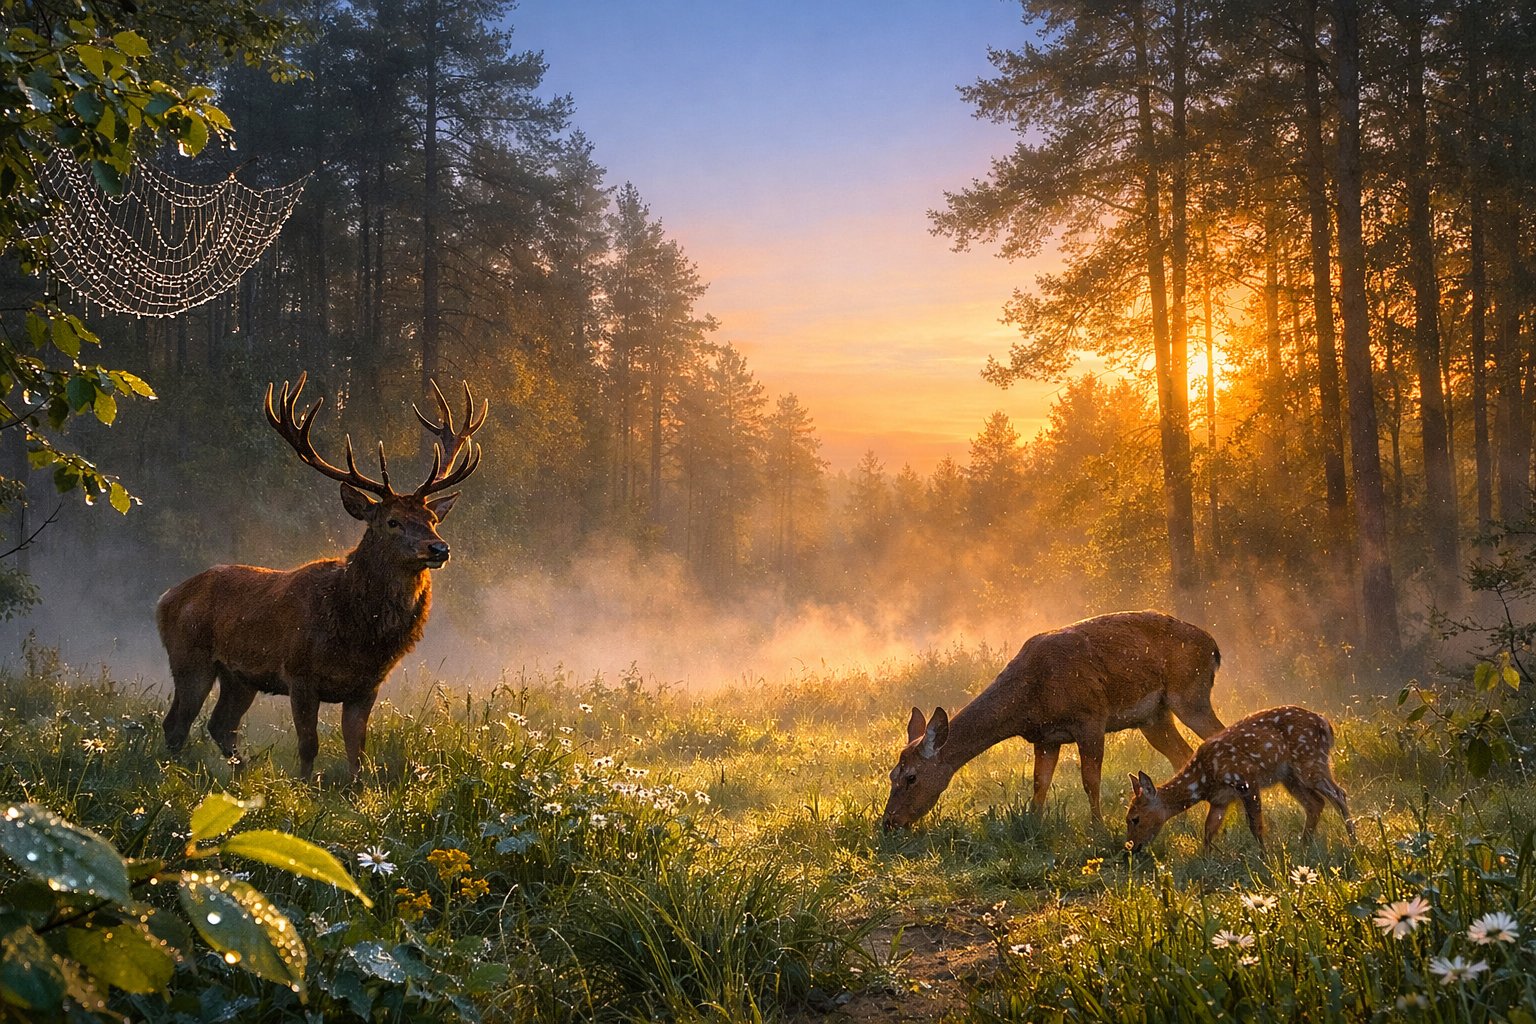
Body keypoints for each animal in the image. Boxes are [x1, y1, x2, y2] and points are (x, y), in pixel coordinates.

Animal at [157, 373, 487, 781]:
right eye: (392, 522)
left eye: (432, 520)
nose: (439, 549)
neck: (356, 633)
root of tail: (166, 597)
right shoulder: (299, 674)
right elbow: (308, 744)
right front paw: (303, 787)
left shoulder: (367, 686)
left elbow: (357, 751)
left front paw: (357, 789)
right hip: (189, 657)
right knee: (177, 724)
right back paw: (174, 773)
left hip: (239, 677)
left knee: (221, 725)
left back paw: (244, 773)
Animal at [881, 610, 1225, 831]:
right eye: (890, 775)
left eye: (910, 777)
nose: (888, 823)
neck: (1030, 699)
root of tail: (1214, 648)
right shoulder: (1045, 738)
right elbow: (1039, 783)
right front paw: (1034, 824)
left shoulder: (1091, 718)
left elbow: (1090, 780)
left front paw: (1098, 828)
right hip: (1153, 717)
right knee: (1182, 754)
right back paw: (1180, 820)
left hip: (1190, 693)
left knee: (1216, 735)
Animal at [1125, 705, 1355, 852]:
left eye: (1135, 818)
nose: (1131, 848)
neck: (1204, 778)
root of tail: (1325, 723)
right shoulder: (1220, 800)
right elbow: (1208, 831)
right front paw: (1205, 861)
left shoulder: (1245, 779)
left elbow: (1255, 825)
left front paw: (1264, 858)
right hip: (1290, 777)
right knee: (1315, 803)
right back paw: (1303, 845)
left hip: (1309, 759)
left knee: (1339, 793)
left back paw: (1353, 842)